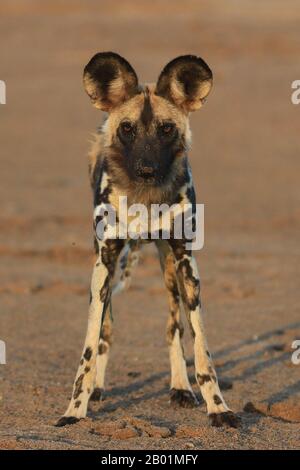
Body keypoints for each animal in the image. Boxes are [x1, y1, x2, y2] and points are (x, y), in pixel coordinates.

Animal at [55, 53, 239, 428]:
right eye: (127, 129)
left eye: (166, 129)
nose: (146, 169)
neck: (145, 199)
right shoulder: (105, 261)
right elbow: (90, 346)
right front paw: (75, 410)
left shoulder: (186, 262)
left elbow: (201, 348)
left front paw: (218, 407)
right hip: (106, 269)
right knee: (106, 330)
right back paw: (97, 389)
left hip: (168, 267)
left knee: (173, 327)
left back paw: (180, 387)